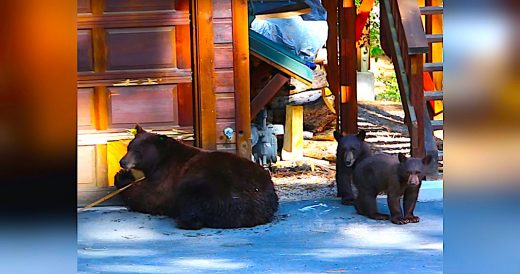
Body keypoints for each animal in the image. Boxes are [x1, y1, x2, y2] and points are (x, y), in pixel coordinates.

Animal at [115, 125, 280, 230]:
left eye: (137, 151)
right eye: (128, 147)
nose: (122, 162)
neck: (160, 160)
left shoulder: (166, 176)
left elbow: (149, 197)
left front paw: (122, 177)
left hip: (209, 183)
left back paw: (184, 219)